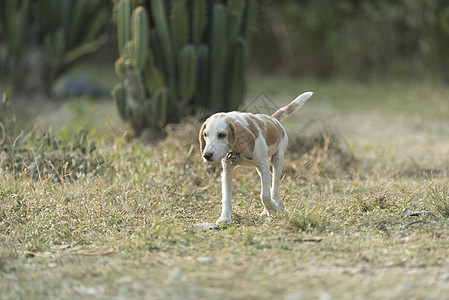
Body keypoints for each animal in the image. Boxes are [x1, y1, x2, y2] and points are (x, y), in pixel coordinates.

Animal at [200, 91, 312, 225]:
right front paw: (225, 217)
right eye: (205, 135)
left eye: (222, 135)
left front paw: (273, 208)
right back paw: (274, 206)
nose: (207, 156)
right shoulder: (227, 170)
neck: (237, 149)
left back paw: (275, 206)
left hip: (277, 159)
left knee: (274, 188)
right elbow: (226, 197)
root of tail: (273, 119)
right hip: (261, 169)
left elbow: (264, 195)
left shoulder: (263, 164)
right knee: (271, 181)